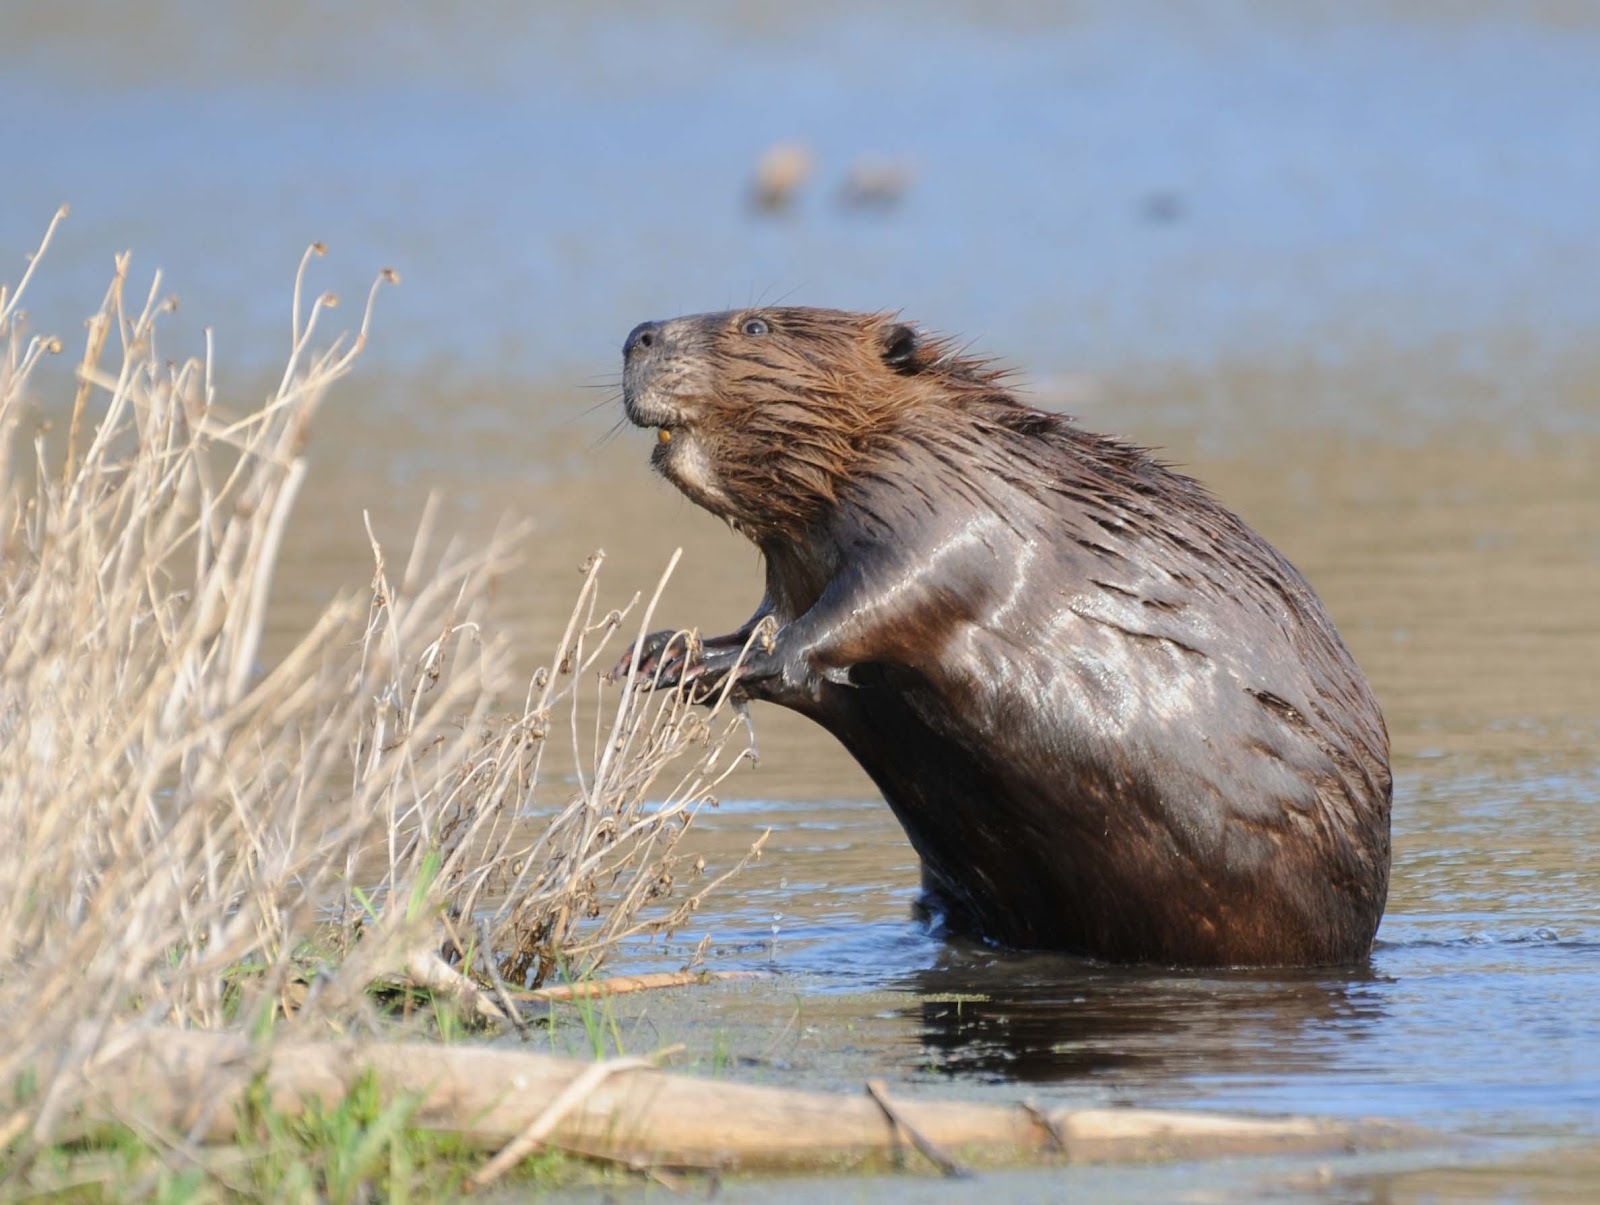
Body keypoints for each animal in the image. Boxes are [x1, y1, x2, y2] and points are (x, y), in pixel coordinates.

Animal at [614, 307, 1388, 966]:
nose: (637, 336)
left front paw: (744, 660)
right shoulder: (801, 560)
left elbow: (890, 595)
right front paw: (662, 653)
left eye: (755, 325)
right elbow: (766, 616)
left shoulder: (943, 498)